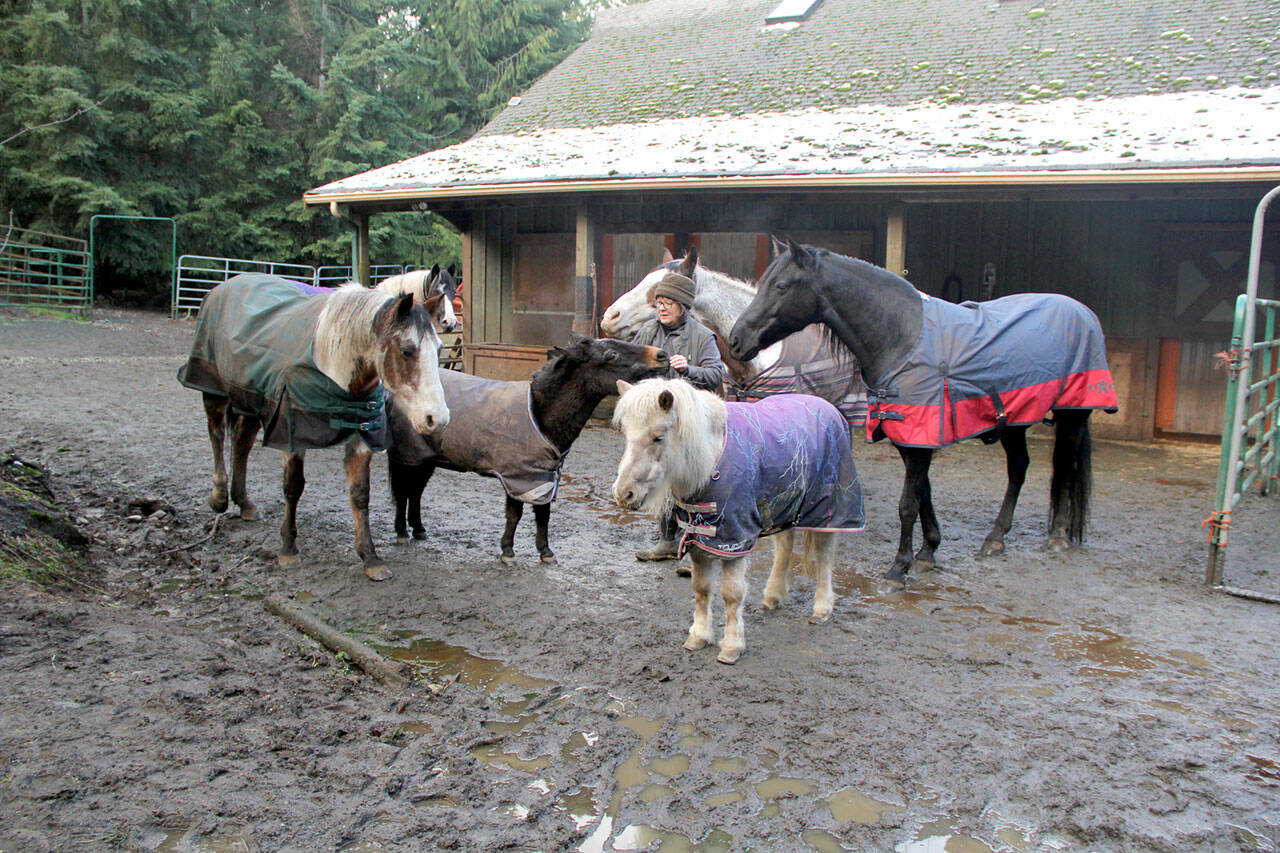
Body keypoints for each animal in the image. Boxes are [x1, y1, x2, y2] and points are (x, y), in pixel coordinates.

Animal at [178, 273, 450, 581]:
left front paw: (370, 558)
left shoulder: (362, 438)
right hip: (213, 390)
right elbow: (293, 487)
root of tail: (225, 286)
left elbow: (360, 495)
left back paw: (244, 503)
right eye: (406, 351)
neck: (332, 361)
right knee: (216, 435)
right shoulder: (292, 436)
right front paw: (288, 549)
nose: (437, 418)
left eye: (439, 349)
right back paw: (220, 497)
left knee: (241, 443)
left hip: (250, 401)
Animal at [387, 333, 670, 565]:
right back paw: (401, 532)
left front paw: (546, 552)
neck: (540, 413)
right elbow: (515, 514)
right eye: (611, 354)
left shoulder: (543, 476)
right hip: (407, 456)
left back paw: (419, 530)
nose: (662, 356)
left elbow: (543, 515)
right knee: (402, 492)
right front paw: (508, 552)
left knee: (415, 492)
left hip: (425, 458)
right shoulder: (517, 475)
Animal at [612, 378, 865, 664]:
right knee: (785, 548)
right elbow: (701, 589)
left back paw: (821, 609)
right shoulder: (699, 540)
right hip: (784, 505)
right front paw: (698, 637)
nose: (623, 494)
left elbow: (731, 595)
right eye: (625, 434)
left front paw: (731, 646)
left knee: (824, 556)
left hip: (830, 510)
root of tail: (830, 409)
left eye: (658, 437)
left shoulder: (735, 541)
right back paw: (772, 597)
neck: (711, 461)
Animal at [728, 238, 1119, 583]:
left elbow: (907, 504)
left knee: (1064, 468)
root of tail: (1082, 312)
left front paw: (899, 569)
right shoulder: (911, 440)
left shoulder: (920, 440)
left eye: (780, 285)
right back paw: (996, 538)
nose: (736, 341)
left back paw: (1058, 536)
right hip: (1014, 422)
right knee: (1019, 469)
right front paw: (928, 552)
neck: (900, 339)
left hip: (1072, 415)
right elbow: (924, 496)